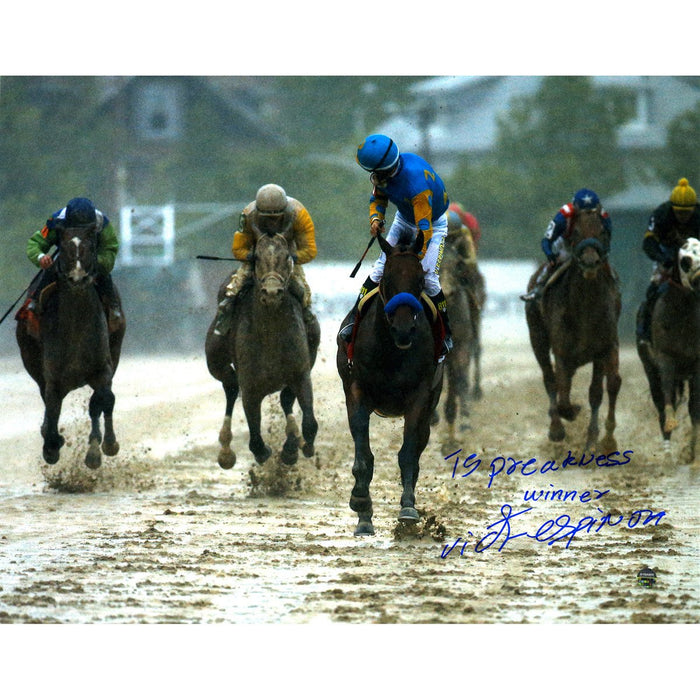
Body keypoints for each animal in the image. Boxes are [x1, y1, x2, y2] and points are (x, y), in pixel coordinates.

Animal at [15, 224, 126, 464]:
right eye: (64, 248)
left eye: (91, 246)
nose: (77, 277)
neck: (76, 325)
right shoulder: (53, 377)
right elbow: (52, 410)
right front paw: (52, 445)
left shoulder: (103, 367)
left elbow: (103, 399)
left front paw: (103, 446)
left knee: (100, 402)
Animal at [204, 231, 322, 470]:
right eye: (256, 258)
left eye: (287, 257)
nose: (272, 292)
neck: (271, 334)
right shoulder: (250, 386)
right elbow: (256, 440)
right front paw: (266, 452)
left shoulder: (300, 373)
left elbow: (309, 422)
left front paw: (295, 447)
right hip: (216, 360)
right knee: (230, 388)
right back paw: (226, 450)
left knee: (285, 398)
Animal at [334, 231, 442, 536]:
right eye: (387, 280)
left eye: (420, 281)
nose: (404, 329)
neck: (391, 351)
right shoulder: (356, 389)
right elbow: (364, 454)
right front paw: (361, 504)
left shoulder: (420, 395)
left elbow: (408, 455)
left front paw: (408, 510)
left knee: (417, 450)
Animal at [636, 238, 700, 462]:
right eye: (685, 260)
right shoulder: (665, 357)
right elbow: (667, 396)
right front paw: (671, 423)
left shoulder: (697, 364)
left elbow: (695, 409)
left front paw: (693, 454)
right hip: (649, 367)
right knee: (661, 400)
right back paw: (667, 451)